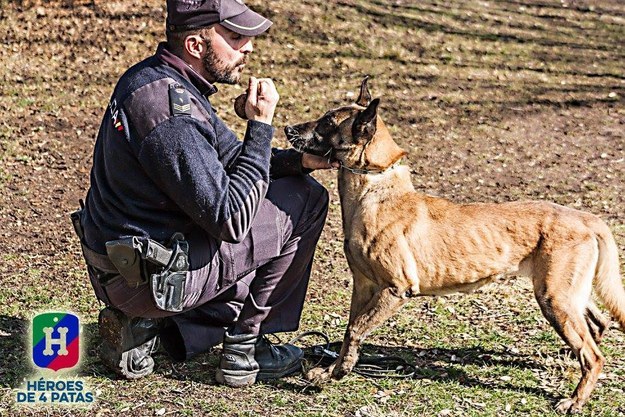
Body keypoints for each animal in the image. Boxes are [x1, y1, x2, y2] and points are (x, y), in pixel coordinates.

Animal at [284, 78, 624, 412]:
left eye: (328, 122)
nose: (287, 129)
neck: (376, 190)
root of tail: (587, 218)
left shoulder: (396, 289)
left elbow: (356, 329)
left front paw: (340, 370)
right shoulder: (363, 286)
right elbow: (349, 331)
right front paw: (331, 371)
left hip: (555, 298)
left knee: (594, 355)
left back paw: (575, 399)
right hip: (567, 295)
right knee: (598, 326)